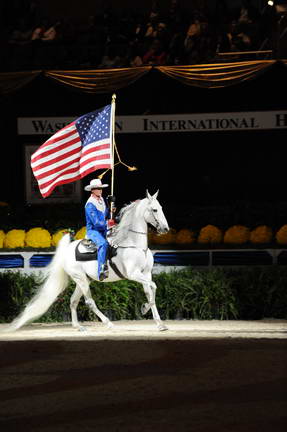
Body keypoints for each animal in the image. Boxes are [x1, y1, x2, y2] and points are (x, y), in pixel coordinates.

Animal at [9, 189, 170, 330]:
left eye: (161, 208)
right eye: (154, 210)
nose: (165, 229)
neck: (134, 244)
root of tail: (66, 251)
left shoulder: (146, 273)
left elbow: (150, 292)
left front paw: (158, 322)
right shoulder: (133, 274)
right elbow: (154, 286)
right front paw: (145, 308)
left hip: (83, 280)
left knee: (73, 301)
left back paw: (78, 326)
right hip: (81, 279)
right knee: (89, 302)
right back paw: (108, 323)